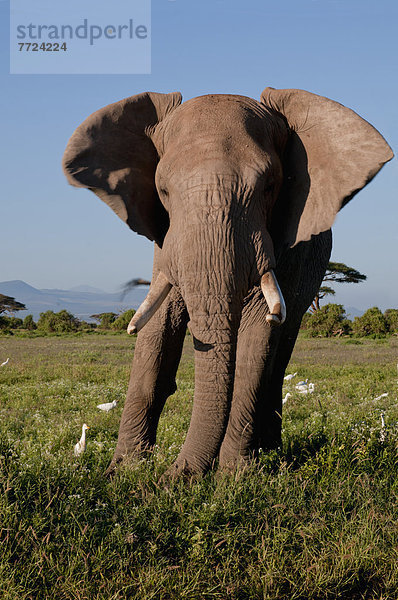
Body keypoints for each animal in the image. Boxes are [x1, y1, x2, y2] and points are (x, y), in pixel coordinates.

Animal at [63, 86, 394, 478]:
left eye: (270, 186)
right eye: (163, 191)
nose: (175, 476)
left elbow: (258, 337)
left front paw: (235, 476)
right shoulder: (165, 239)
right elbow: (157, 329)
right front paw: (123, 473)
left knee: (278, 356)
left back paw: (270, 454)